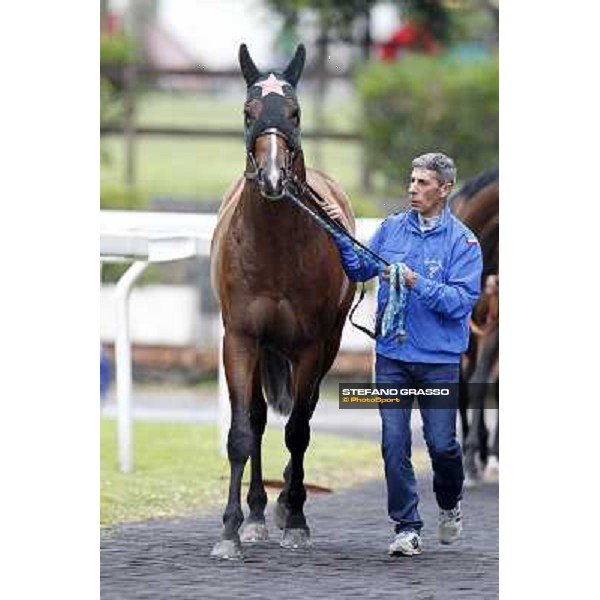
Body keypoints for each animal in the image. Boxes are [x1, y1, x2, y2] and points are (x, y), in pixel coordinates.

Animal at [210, 44, 356, 560]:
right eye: (248, 112)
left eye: (293, 113)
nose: (273, 178)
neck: (273, 249)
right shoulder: (240, 338)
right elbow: (242, 431)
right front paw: (231, 531)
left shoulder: (312, 347)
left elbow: (299, 430)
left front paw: (295, 520)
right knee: (257, 418)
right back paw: (256, 514)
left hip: (324, 347)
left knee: (303, 417)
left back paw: (287, 504)